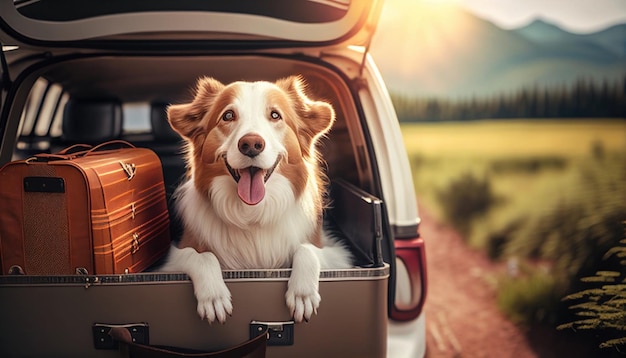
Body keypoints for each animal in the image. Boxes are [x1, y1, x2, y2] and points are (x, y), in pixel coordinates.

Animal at [161, 76, 352, 324]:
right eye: (228, 115)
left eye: (275, 115)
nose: (251, 144)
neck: (252, 213)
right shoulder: (174, 257)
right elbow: (202, 256)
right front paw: (214, 296)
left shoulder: (334, 250)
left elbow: (306, 250)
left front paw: (302, 293)